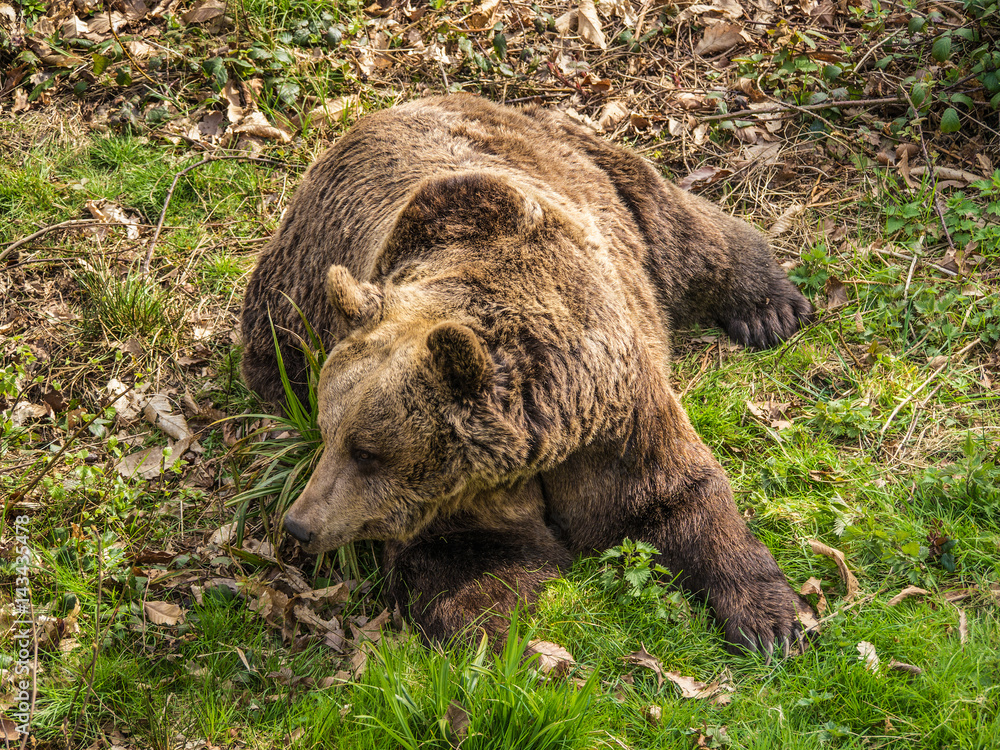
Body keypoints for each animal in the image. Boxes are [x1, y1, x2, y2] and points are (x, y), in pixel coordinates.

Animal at [241, 95, 813, 656]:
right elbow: (473, 555)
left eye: (367, 452)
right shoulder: (460, 485)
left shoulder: (613, 412)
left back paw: (768, 309)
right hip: (293, 298)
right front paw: (506, 638)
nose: (299, 524)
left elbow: (667, 493)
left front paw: (771, 620)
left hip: (593, 172)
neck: (549, 428)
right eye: (328, 432)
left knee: (683, 235)